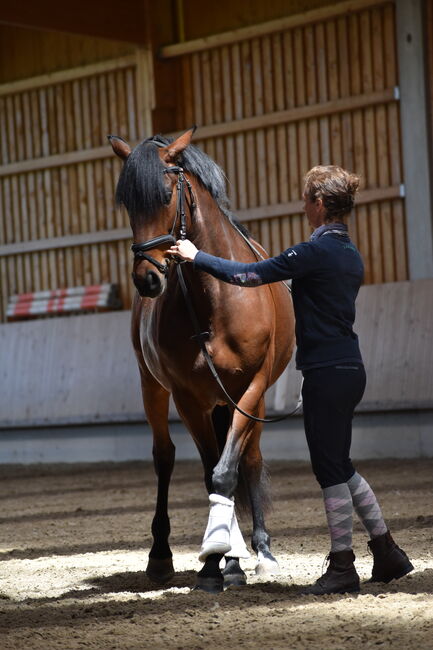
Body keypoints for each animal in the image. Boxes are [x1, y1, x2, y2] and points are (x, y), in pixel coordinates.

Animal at [109, 127, 295, 592]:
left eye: (166, 195)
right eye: (128, 204)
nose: (147, 279)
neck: (217, 297)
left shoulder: (250, 389)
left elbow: (230, 471)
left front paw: (241, 558)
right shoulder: (189, 398)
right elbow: (211, 472)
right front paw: (216, 563)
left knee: (249, 461)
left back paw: (259, 551)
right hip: (153, 388)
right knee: (165, 457)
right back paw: (163, 557)